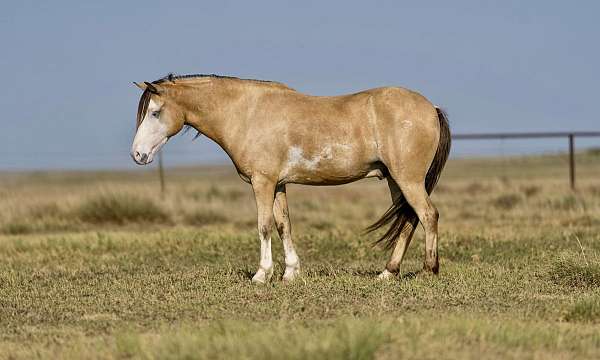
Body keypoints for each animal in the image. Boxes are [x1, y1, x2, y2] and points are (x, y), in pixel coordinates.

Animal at [131, 74, 450, 284]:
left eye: (155, 113)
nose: (137, 154)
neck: (246, 113)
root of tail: (431, 107)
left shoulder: (262, 182)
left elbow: (264, 226)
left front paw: (262, 275)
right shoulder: (279, 184)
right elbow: (284, 225)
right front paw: (290, 273)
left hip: (408, 180)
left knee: (428, 215)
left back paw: (428, 270)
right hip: (396, 181)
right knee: (409, 219)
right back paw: (388, 272)